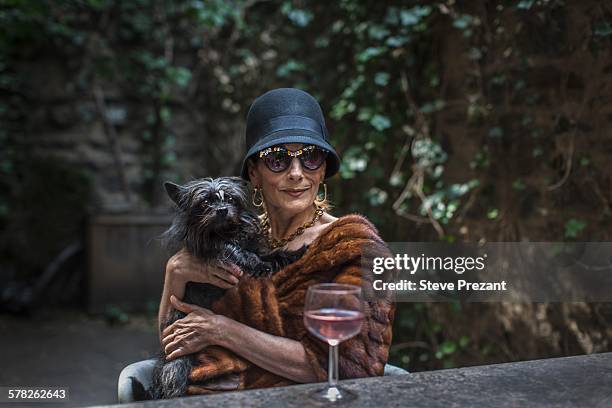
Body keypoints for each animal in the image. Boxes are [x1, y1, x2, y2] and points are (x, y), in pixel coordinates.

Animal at [131, 177, 308, 400]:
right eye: (205, 203)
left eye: (230, 199)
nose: (222, 210)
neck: (225, 231)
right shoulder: (213, 248)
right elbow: (233, 250)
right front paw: (258, 265)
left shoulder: (256, 247)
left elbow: (273, 255)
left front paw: (297, 252)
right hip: (177, 362)